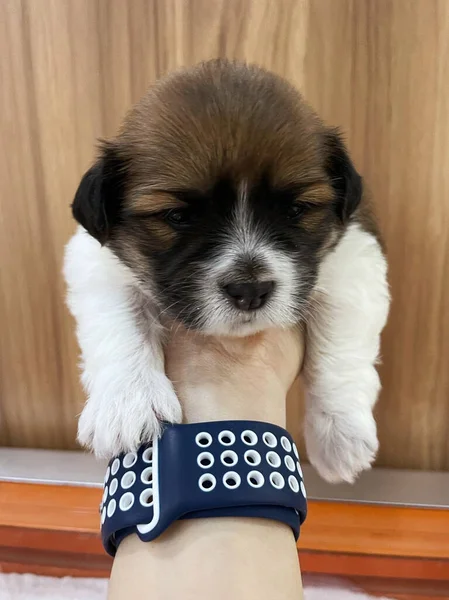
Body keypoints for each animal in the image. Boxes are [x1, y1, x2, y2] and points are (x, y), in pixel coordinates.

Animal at [64, 59, 388, 482]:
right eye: (177, 217)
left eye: (296, 210)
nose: (250, 291)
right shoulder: (97, 263)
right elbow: (118, 323)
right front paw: (127, 403)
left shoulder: (354, 258)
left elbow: (340, 348)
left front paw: (340, 431)